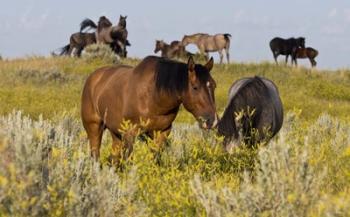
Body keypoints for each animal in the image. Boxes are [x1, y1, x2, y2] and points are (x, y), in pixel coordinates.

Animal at [82, 55, 219, 164]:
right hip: (94, 128)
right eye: (195, 87)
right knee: (95, 155)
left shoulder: (162, 132)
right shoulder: (130, 133)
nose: (212, 121)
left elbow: (155, 158)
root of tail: (93, 78)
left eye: (213, 85)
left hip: (116, 132)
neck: (153, 96)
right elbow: (128, 159)